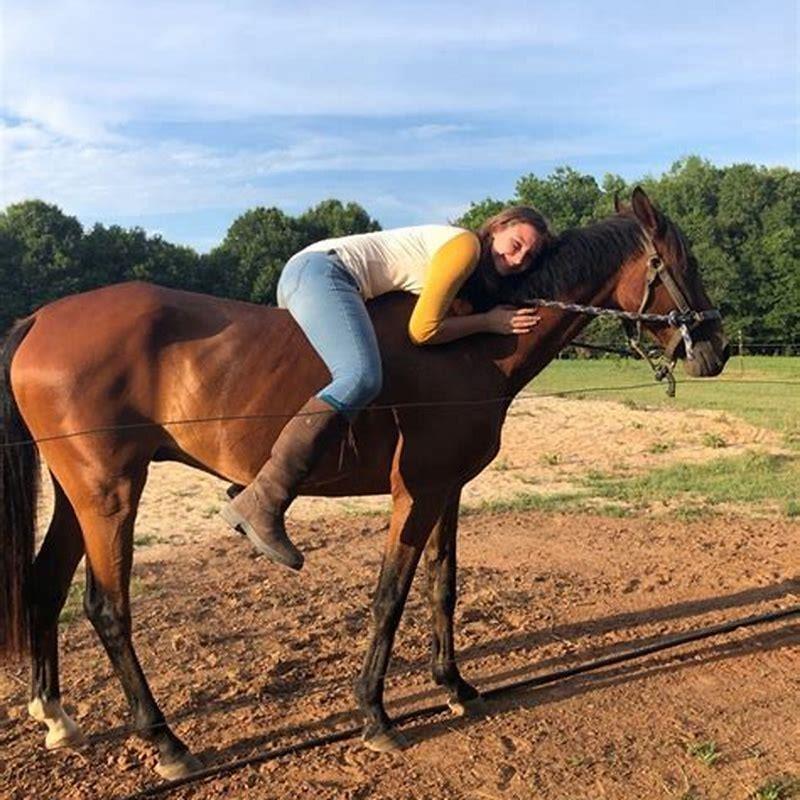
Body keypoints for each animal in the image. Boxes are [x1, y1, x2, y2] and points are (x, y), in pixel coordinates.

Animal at [0, 188, 728, 779]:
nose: (716, 349)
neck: (471, 345)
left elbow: (442, 586)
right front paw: (375, 714)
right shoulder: (418, 491)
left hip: (81, 494)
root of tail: (41, 319)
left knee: (46, 583)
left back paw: (57, 717)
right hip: (111, 493)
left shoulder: (447, 490)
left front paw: (455, 687)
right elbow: (390, 596)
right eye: (685, 262)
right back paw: (165, 741)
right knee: (107, 608)